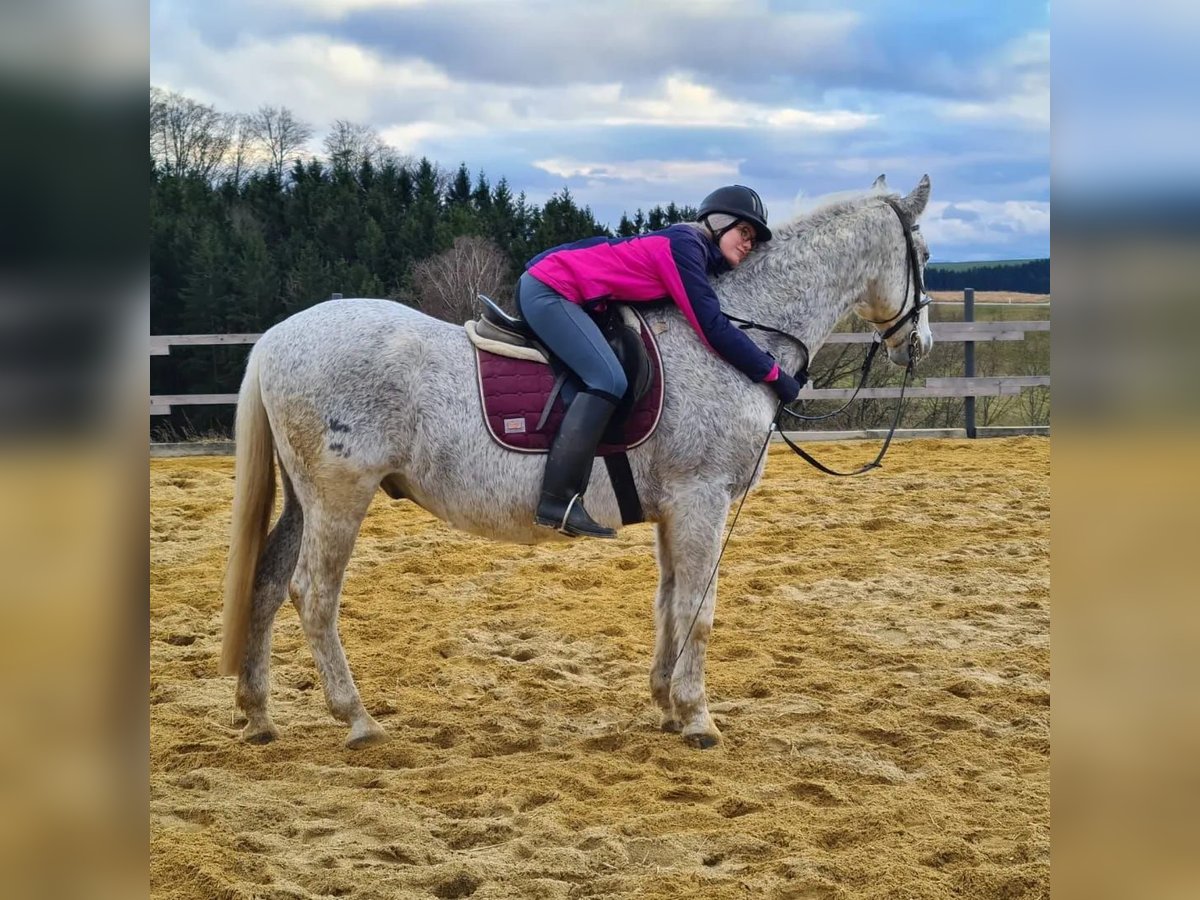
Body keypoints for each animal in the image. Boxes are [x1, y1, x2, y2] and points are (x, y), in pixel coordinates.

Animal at [216, 172, 931, 748]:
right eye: (923, 254)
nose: (917, 344)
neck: (732, 332)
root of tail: (277, 337)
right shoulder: (702, 499)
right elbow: (698, 609)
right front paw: (697, 716)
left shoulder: (676, 510)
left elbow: (669, 603)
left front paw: (666, 705)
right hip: (339, 498)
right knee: (313, 596)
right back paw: (357, 719)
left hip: (307, 498)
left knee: (268, 585)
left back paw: (258, 715)